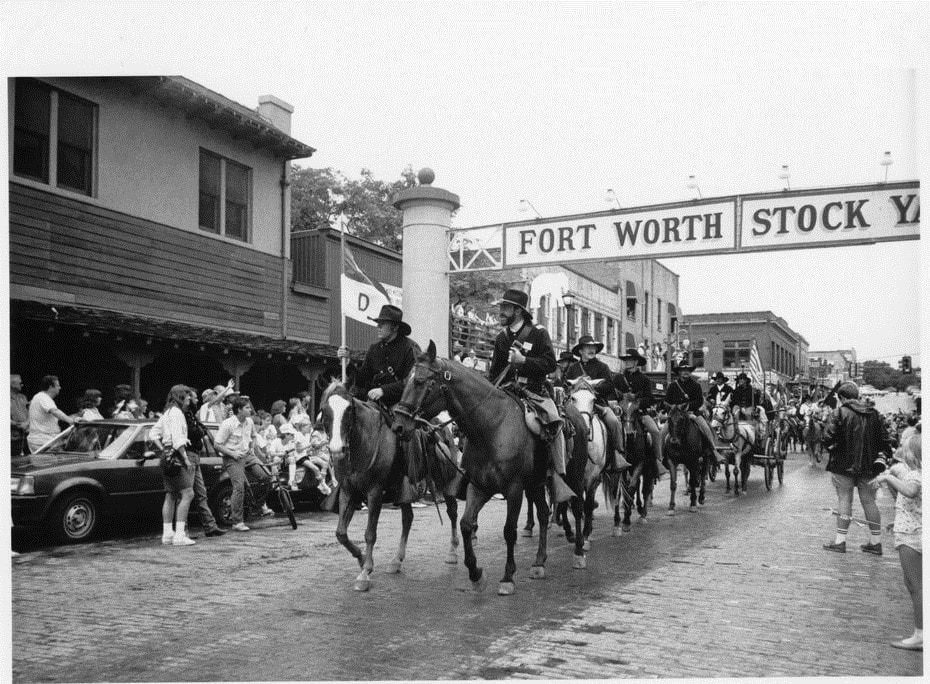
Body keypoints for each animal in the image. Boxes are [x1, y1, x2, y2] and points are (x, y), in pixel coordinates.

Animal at [320, 380, 460, 592]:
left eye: (349, 409)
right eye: (324, 410)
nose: (337, 449)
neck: (364, 444)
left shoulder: (374, 493)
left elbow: (370, 534)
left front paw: (365, 572)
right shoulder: (347, 492)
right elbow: (341, 534)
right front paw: (361, 558)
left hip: (446, 480)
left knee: (452, 512)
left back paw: (452, 552)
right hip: (403, 490)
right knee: (408, 519)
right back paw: (396, 560)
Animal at [388, 340, 568, 592]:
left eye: (420, 382)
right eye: (406, 381)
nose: (398, 426)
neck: (492, 428)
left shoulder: (514, 490)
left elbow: (509, 531)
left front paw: (507, 577)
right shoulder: (479, 486)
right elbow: (466, 524)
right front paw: (475, 573)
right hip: (535, 483)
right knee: (543, 512)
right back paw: (539, 561)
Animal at [604, 390, 656, 536]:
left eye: (637, 410)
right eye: (620, 410)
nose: (629, 433)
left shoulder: (640, 464)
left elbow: (632, 488)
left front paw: (626, 521)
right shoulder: (621, 468)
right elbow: (619, 491)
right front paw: (617, 523)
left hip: (648, 467)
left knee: (645, 488)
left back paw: (642, 513)